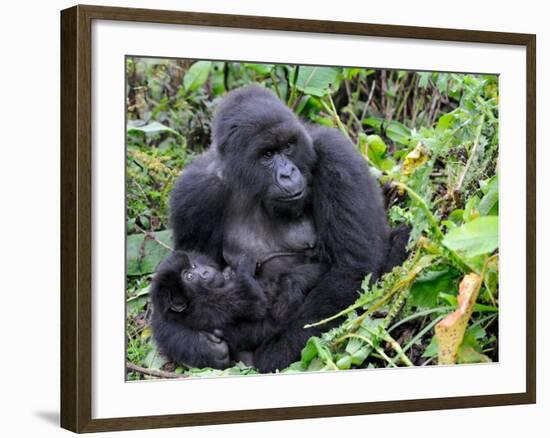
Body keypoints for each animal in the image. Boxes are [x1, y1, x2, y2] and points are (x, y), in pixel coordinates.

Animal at [160, 86, 406, 372]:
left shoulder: (337, 157)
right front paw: (199, 346)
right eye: (267, 155)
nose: (288, 173)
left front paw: (273, 355)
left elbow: (351, 269)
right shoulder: (194, 194)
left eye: (288, 147)